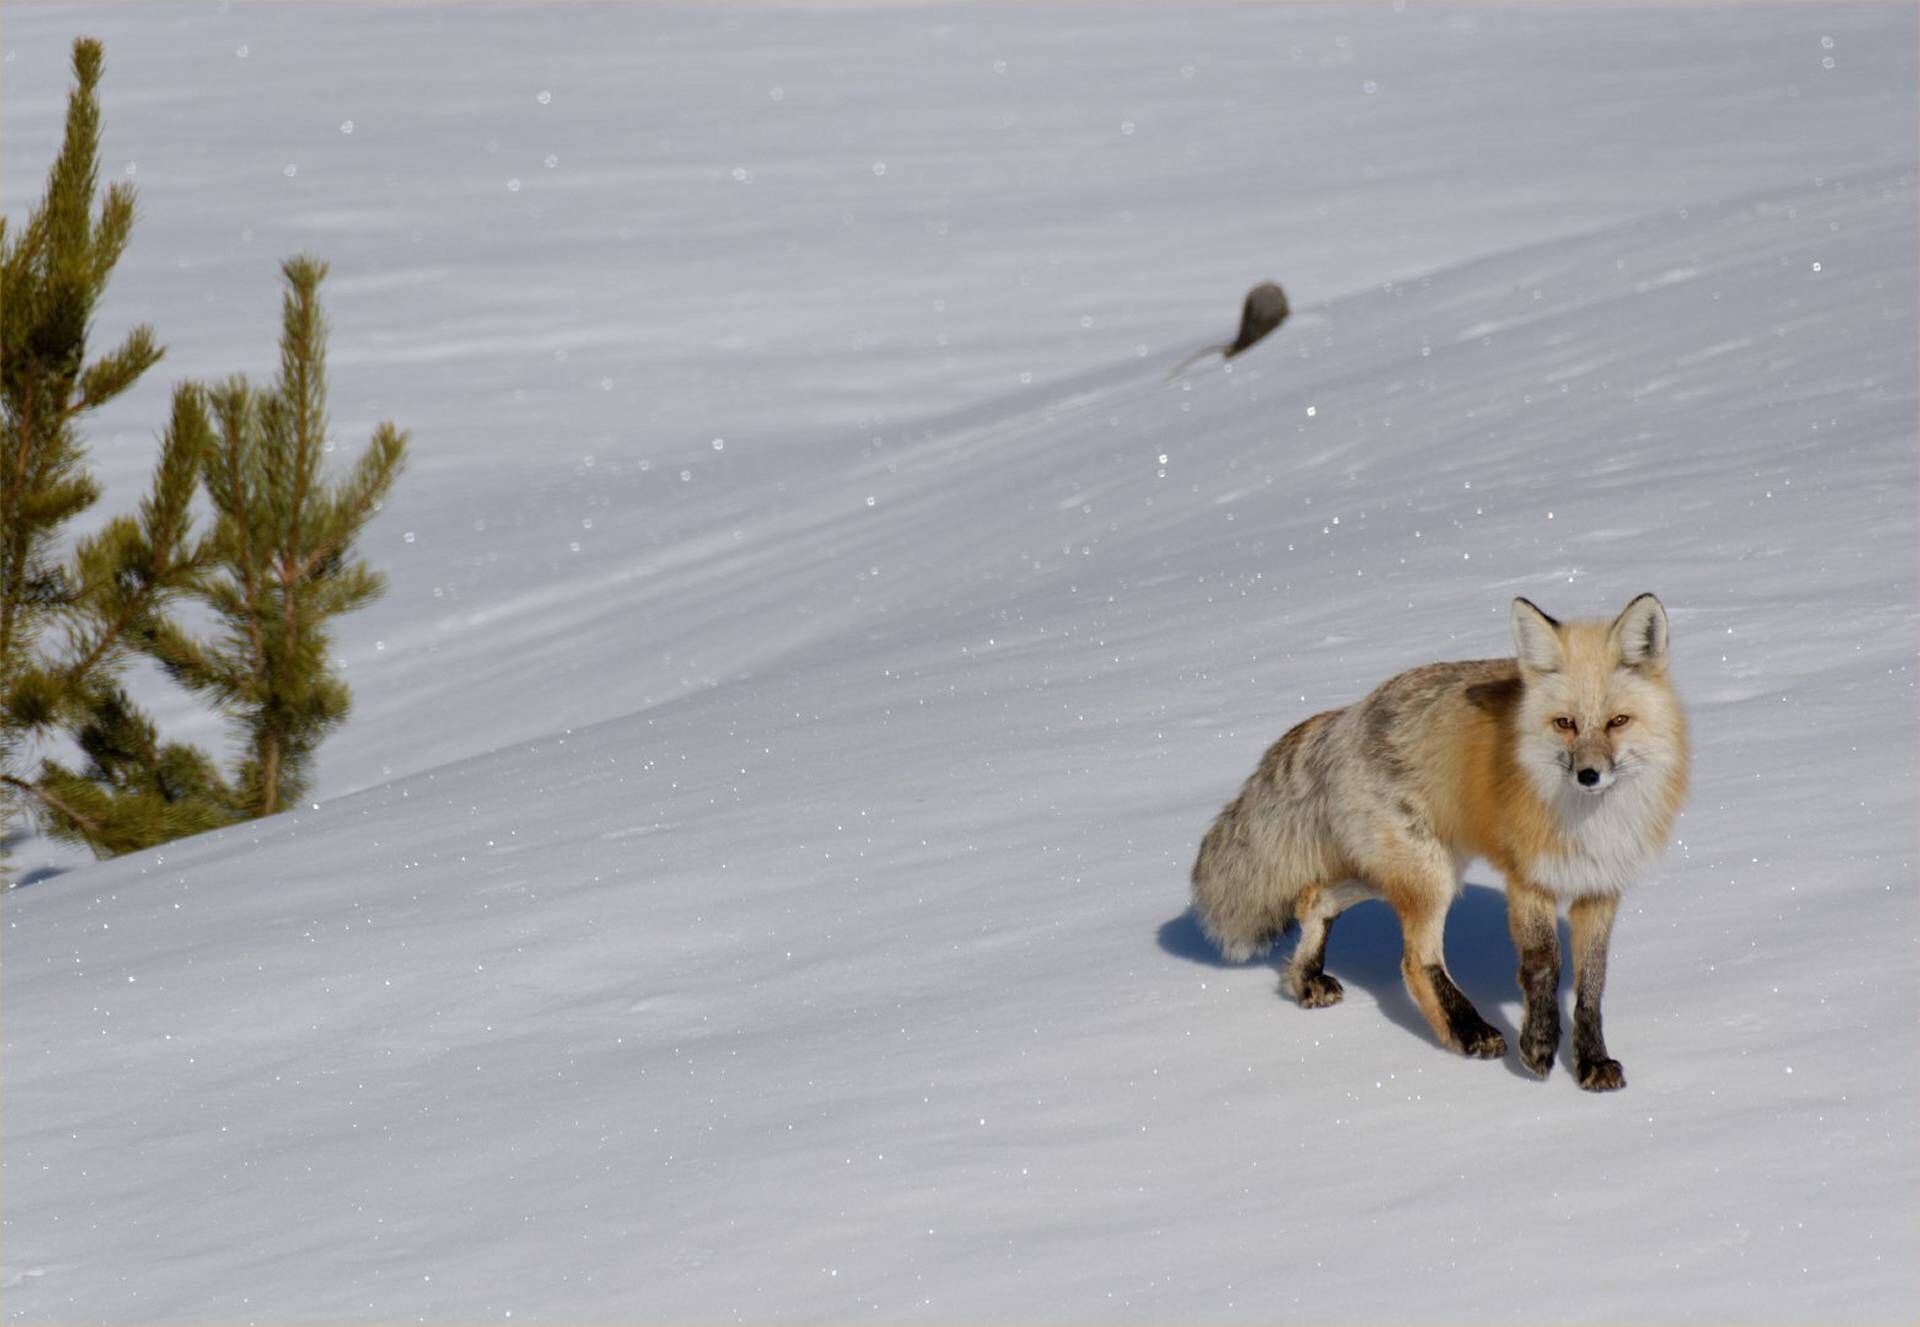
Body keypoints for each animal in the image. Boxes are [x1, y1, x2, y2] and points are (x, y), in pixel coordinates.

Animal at [1190, 593, 1689, 1091]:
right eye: (1565, 723)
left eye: (1618, 722)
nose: (1589, 775)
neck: (1589, 823)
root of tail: (1347, 716)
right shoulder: (1528, 880)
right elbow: (1543, 963)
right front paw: (1539, 1045)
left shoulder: (1600, 888)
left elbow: (1592, 985)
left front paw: (1591, 1061)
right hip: (1430, 875)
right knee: (1415, 961)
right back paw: (1470, 1032)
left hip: (1402, 870)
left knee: (1313, 898)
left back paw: (1307, 978)